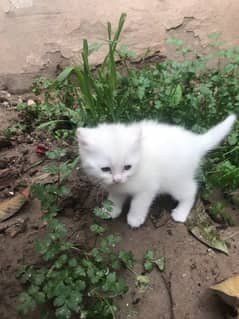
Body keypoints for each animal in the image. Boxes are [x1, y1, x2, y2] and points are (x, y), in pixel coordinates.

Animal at [76, 115, 235, 228]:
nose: (117, 179)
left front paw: (135, 218)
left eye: (127, 167)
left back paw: (181, 213)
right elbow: (114, 198)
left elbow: (139, 204)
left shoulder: (148, 188)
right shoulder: (116, 188)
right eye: (105, 169)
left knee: (191, 190)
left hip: (176, 181)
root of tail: (195, 142)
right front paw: (110, 210)